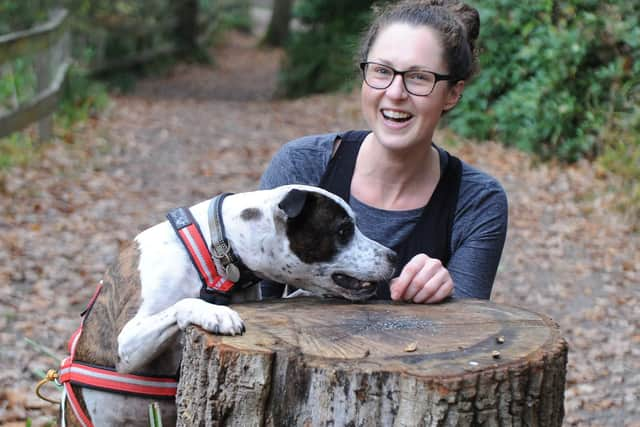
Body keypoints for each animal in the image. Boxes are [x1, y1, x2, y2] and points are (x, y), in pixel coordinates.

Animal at [58, 186, 396, 427]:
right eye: (343, 230)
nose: (393, 257)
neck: (211, 252)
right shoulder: (126, 346)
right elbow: (184, 303)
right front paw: (216, 313)